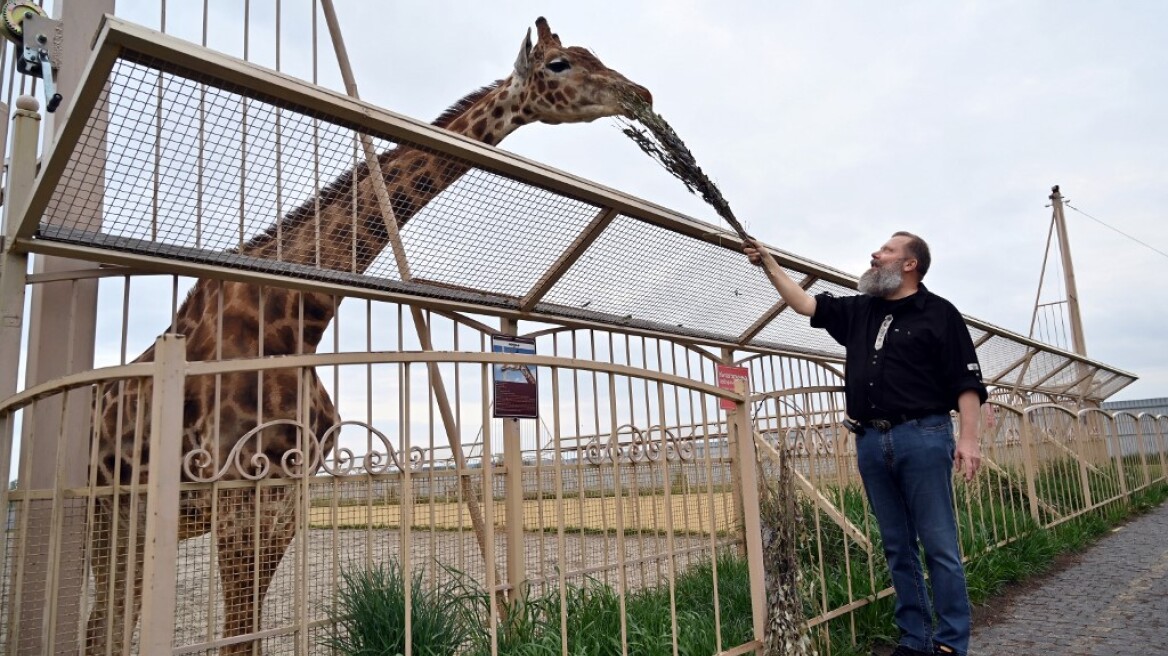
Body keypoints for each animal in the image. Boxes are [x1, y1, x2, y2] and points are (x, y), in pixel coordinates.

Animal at [86, 15, 654, 653]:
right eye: (560, 64)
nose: (640, 94)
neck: (296, 318)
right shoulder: (238, 492)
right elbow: (238, 636)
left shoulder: (287, 497)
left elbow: (249, 631)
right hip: (108, 512)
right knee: (103, 622)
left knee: (110, 621)